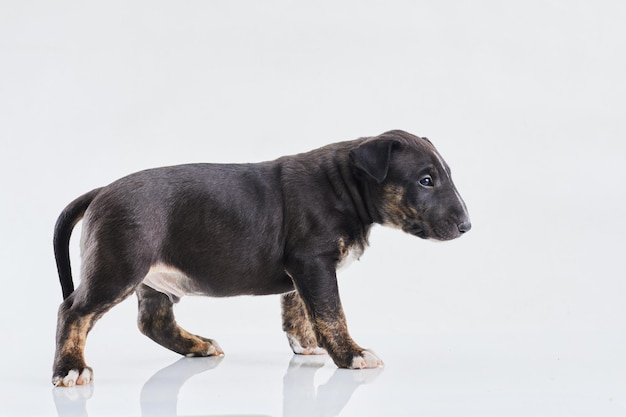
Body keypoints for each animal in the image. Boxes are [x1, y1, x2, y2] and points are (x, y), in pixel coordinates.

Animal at [51, 130, 468, 386]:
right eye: (425, 180)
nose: (467, 226)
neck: (344, 182)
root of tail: (100, 191)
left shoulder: (303, 268)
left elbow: (299, 308)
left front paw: (307, 346)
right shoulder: (314, 263)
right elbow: (331, 312)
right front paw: (351, 354)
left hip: (154, 279)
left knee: (153, 321)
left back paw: (198, 346)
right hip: (118, 266)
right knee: (73, 311)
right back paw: (70, 370)